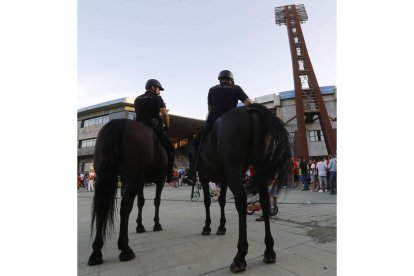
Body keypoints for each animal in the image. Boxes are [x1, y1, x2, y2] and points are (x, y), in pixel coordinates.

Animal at [87, 118, 167, 266]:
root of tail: (120, 122)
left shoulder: (141, 181)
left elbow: (141, 202)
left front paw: (140, 225)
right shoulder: (160, 179)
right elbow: (156, 202)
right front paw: (156, 224)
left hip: (104, 175)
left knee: (101, 208)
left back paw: (96, 253)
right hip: (134, 178)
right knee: (125, 207)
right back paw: (125, 249)